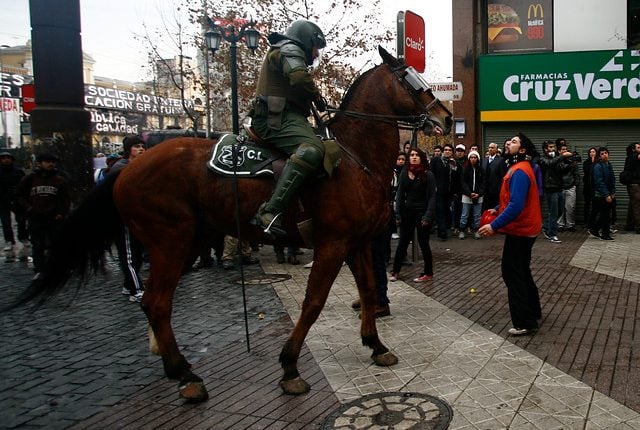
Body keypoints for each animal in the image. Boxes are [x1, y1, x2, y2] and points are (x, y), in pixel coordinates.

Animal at [17, 45, 452, 402]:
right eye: (411, 79)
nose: (445, 118)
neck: (354, 158)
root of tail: (126, 168)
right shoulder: (333, 244)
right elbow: (313, 303)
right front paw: (290, 366)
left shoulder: (357, 243)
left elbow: (368, 290)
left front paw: (376, 346)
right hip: (170, 242)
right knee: (156, 302)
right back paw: (186, 375)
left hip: (189, 241)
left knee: (156, 302)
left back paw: (175, 366)